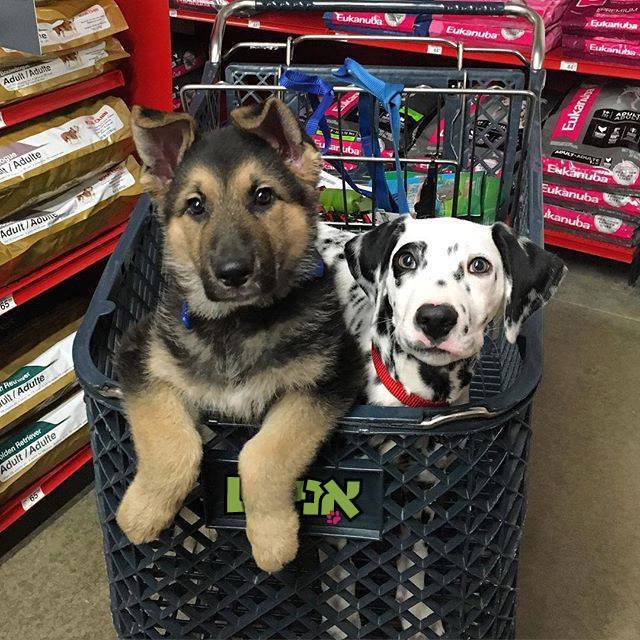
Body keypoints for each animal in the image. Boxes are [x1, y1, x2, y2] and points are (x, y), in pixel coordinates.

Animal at [115, 98, 363, 573]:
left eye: (263, 196)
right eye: (195, 206)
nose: (232, 273)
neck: (235, 322)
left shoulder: (331, 378)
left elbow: (262, 455)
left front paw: (272, 538)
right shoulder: (141, 359)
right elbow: (175, 444)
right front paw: (142, 512)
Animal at [317, 215, 566, 637]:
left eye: (479, 265)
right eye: (406, 259)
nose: (435, 317)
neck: (413, 399)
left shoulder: (422, 493)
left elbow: (414, 561)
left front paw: (416, 614)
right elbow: (342, 570)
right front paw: (341, 618)